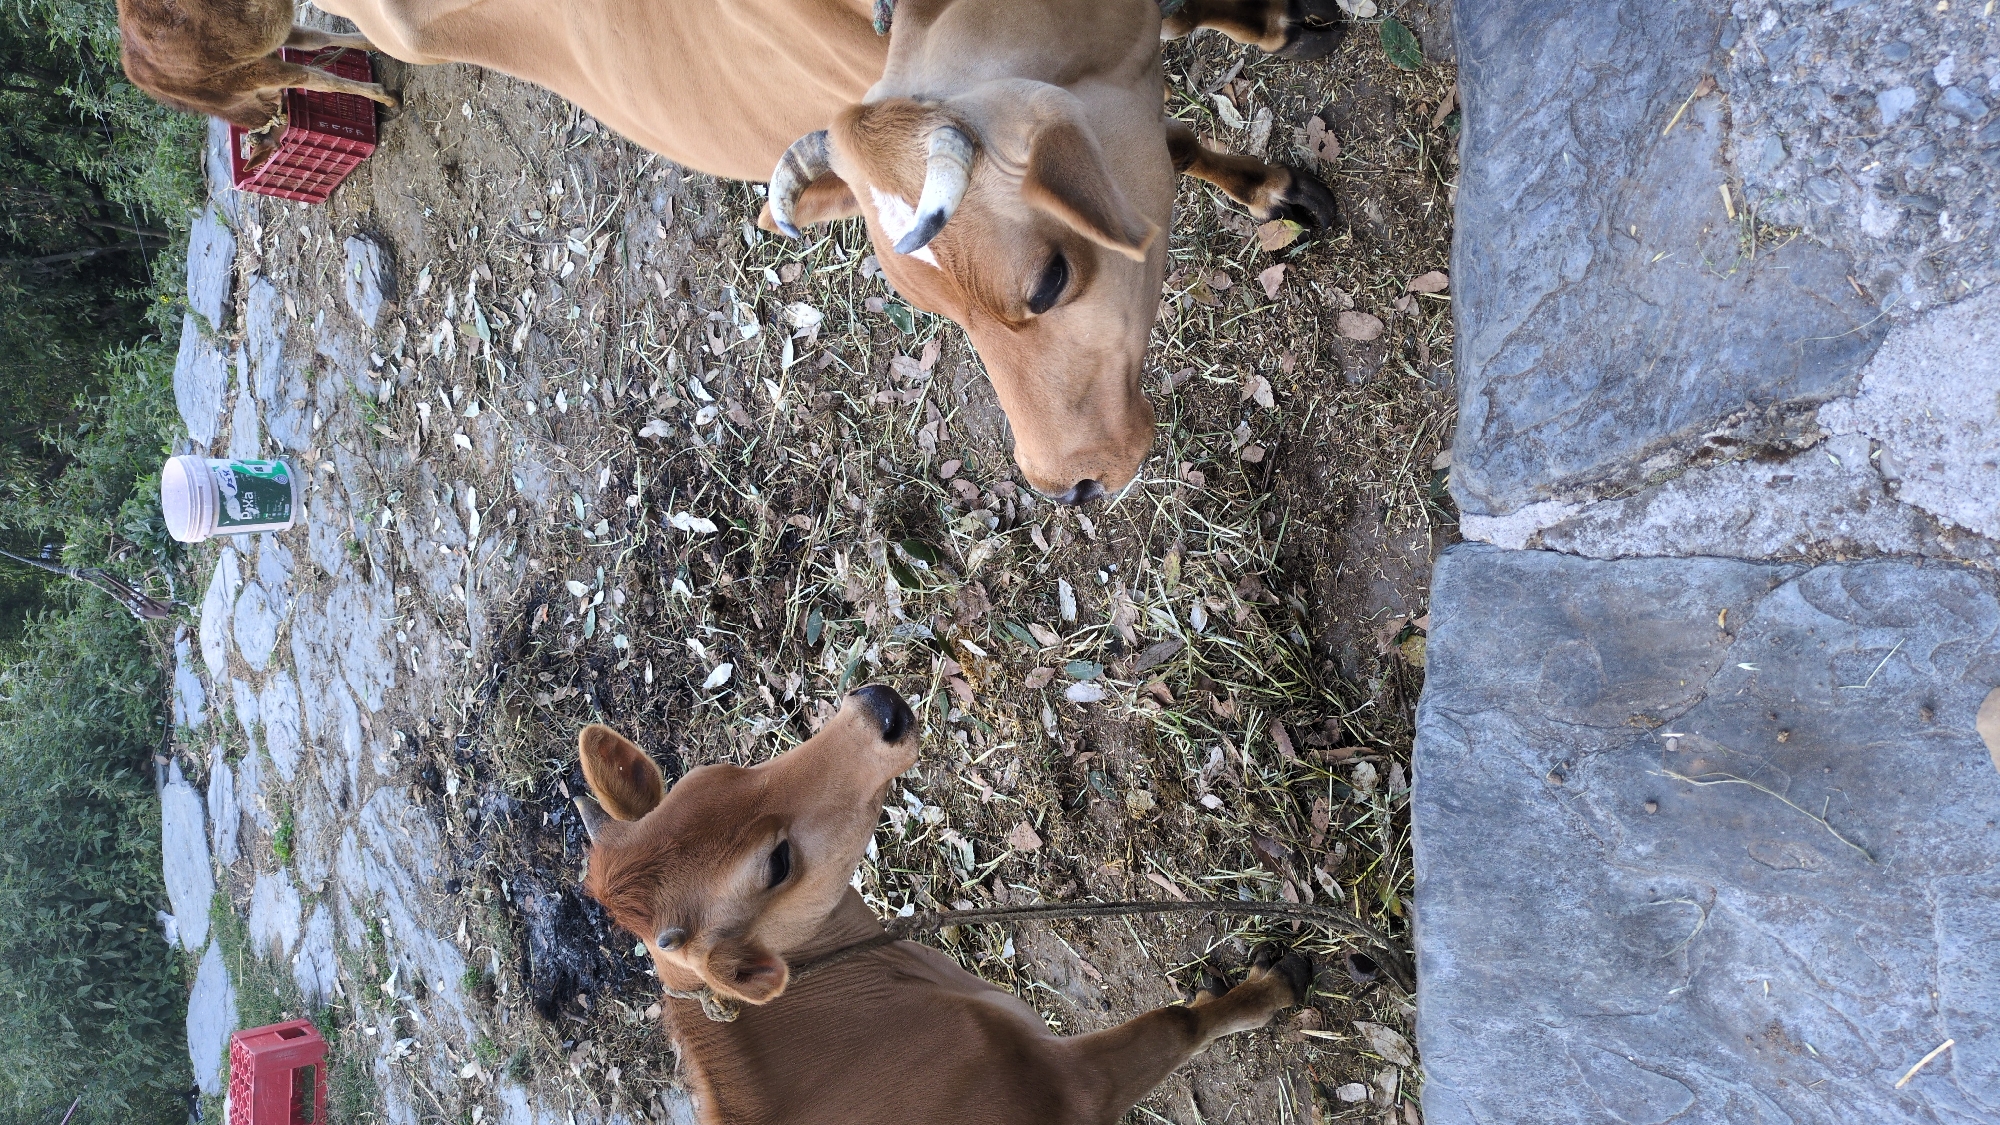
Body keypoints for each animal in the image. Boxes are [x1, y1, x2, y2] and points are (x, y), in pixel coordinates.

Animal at [573, 684, 1316, 1124]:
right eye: (776, 862)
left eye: (718, 772)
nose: (879, 706)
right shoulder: (1069, 1087)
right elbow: (1177, 1023)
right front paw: (1270, 986)